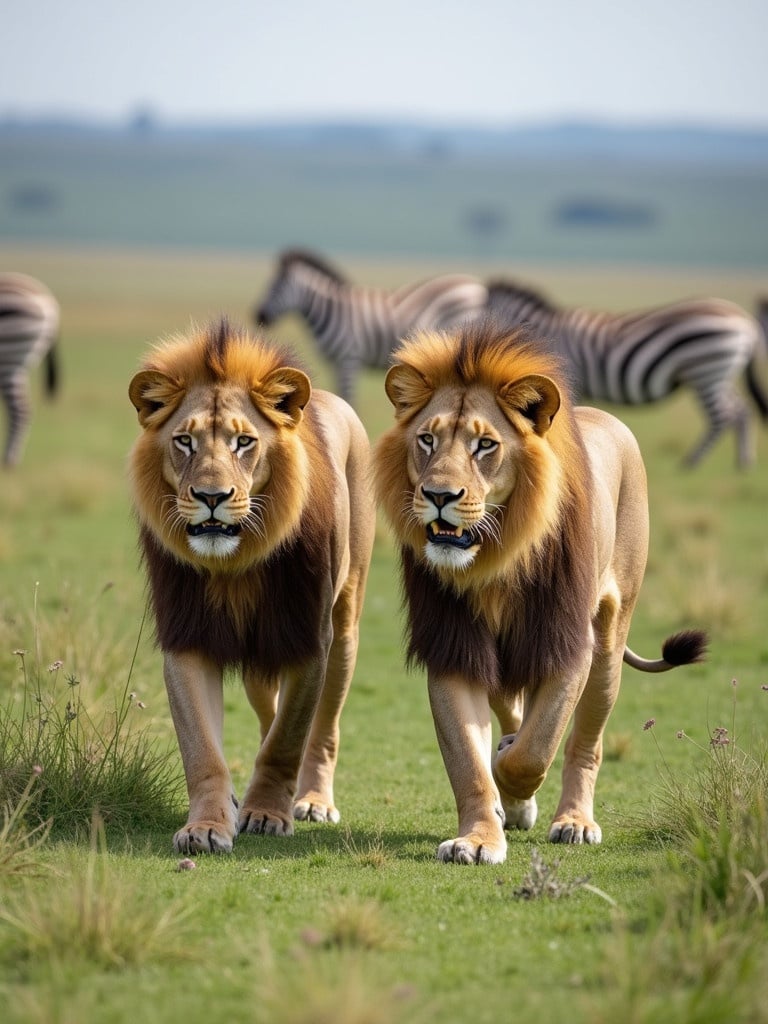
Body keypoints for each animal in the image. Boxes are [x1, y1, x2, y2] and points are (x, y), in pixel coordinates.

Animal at [129, 319, 376, 856]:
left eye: (244, 443)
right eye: (184, 441)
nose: (212, 496)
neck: (234, 565)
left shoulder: (309, 639)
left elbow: (289, 738)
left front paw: (267, 814)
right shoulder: (186, 639)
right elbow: (204, 750)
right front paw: (207, 825)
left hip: (344, 628)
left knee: (323, 728)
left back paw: (313, 801)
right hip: (260, 660)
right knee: (268, 714)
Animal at [256, 249, 489, 405]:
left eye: (276, 287)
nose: (258, 316)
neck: (332, 311)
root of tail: (476, 286)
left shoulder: (349, 359)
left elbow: (348, 397)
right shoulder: (335, 364)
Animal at [376, 319, 708, 864]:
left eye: (485, 446)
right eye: (426, 439)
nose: (439, 496)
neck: (495, 556)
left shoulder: (567, 642)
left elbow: (534, 751)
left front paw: (510, 776)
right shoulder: (453, 645)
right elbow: (468, 760)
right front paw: (478, 837)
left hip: (608, 642)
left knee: (584, 742)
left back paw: (574, 821)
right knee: (512, 708)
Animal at [489, 282, 765, 468]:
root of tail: (746, 322)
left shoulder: (567, 380)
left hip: (706, 370)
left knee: (724, 415)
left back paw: (692, 461)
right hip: (719, 374)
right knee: (741, 410)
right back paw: (743, 462)